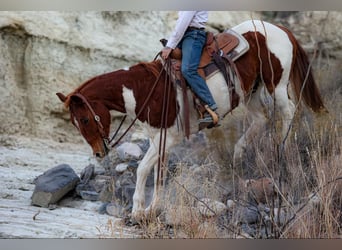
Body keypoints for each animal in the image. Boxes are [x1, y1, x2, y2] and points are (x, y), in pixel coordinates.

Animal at [56, 20, 326, 223]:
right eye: (76, 123)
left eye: (84, 119)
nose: (98, 153)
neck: (145, 89)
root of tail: (280, 29)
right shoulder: (159, 139)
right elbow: (158, 173)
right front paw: (151, 209)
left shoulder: (168, 137)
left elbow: (143, 169)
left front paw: (137, 210)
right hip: (250, 91)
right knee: (260, 119)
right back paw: (238, 155)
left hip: (276, 84)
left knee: (289, 111)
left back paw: (283, 147)